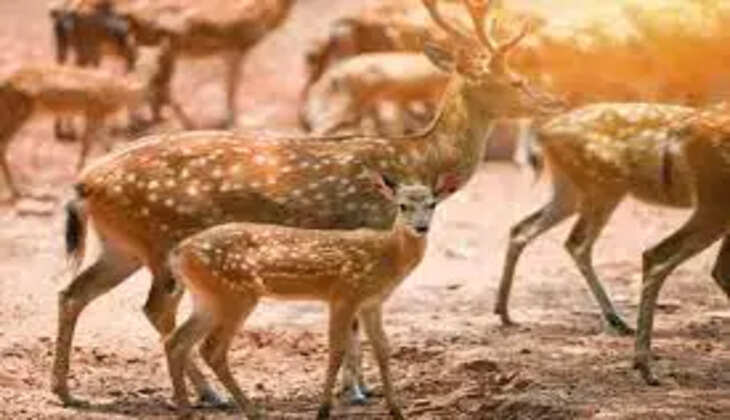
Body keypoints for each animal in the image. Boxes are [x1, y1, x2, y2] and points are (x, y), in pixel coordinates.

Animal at [0, 41, 182, 203]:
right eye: (139, 56)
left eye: (157, 56)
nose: (157, 73)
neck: (120, 92)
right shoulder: (95, 111)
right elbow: (88, 144)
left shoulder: (94, 115)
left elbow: (104, 146)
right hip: (17, 115)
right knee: (3, 144)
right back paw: (17, 192)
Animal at [164, 172, 452, 419]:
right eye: (403, 206)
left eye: (432, 204)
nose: (421, 227)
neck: (387, 256)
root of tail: (178, 253)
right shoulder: (344, 294)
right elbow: (336, 349)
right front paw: (323, 410)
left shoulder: (372, 302)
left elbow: (382, 348)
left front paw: (396, 410)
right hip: (235, 293)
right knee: (211, 348)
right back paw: (252, 411)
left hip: (207, 297)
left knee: (177, 341)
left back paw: (186, 411)